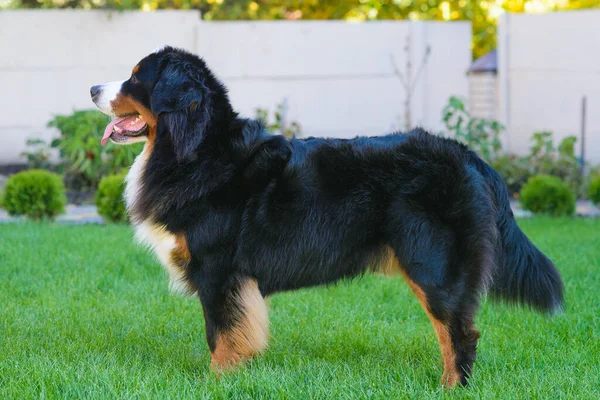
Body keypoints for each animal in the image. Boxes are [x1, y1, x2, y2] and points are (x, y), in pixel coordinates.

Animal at [89, 46, 564, 388]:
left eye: (136, 77)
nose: (92, 88)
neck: (195, 150)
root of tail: (469, 156)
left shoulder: (219, 270)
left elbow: (221, 336)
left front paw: (216, 383)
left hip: (433, 263)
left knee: (458, 334)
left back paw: (451, 388)